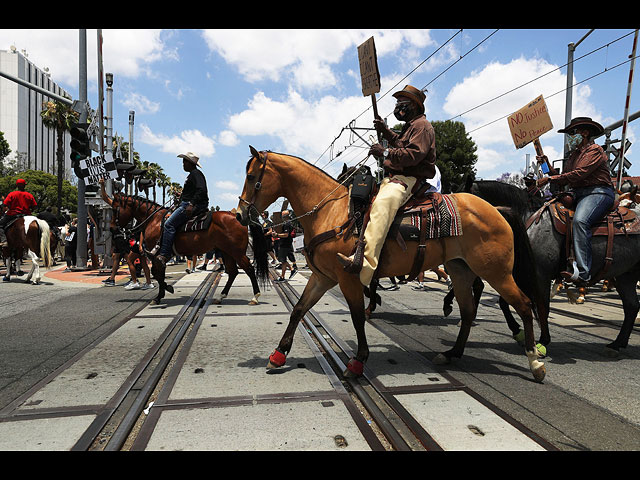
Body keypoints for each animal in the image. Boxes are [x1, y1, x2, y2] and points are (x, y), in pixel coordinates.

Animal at [99, 186, 268, 306]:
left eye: (114, 209)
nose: (112, 228)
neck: (154, 220)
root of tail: (239, 217)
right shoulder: (161, 255)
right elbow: (159, 273)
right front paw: (162, 294)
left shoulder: (156, 255)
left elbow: (156, 273)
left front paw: (163, 293)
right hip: (227, 252)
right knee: (233, 272)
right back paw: (221, 296)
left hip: (237, 252)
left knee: (249, 269)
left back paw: (255, 296)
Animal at [238, 146, 548, 382]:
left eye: (252, 176)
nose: (240, 214)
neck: (331, 212)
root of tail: (496, 209)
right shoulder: (322, 277)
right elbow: (299, 310)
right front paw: (279, 354)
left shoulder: (348, 277)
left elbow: (357, 316)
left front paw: (358, 362)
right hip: (461, 270)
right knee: (469, 311)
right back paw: (452, 353)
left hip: (497, 272)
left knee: (523, 305)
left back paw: (535, 362)